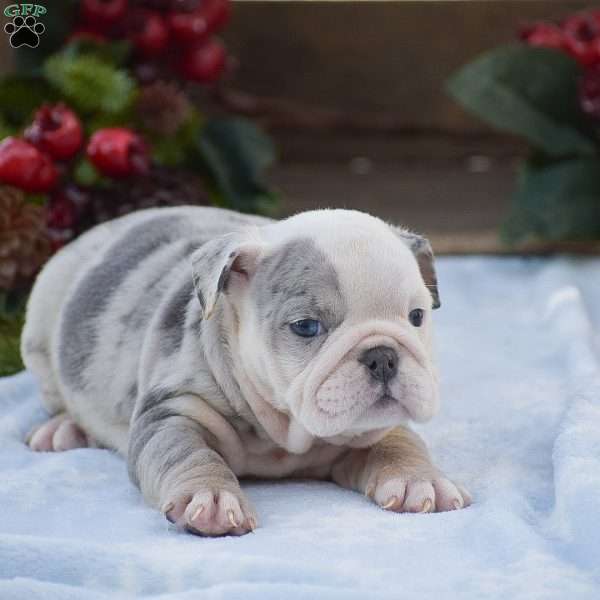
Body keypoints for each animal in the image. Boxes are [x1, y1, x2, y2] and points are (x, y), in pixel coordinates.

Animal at [22, 206, 468, 536]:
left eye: (416, 317)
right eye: (307, 327)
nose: (383, 356)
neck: (283, 429)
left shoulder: (376, 425)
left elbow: (399, 444)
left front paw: (417, 480)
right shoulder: (172, 410)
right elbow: (186, 452)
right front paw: (211, 497)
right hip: (42, 325)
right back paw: (64, 428)